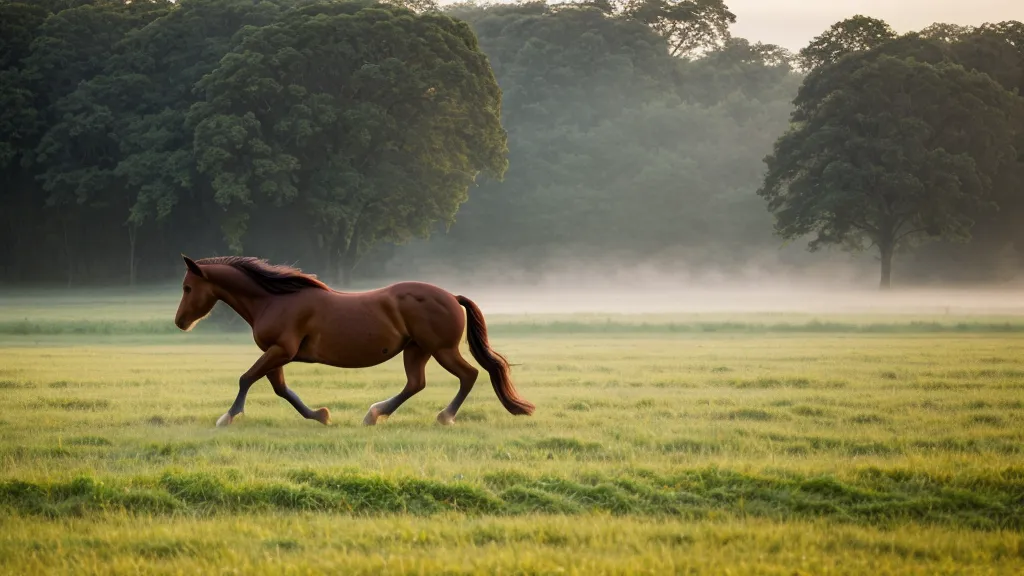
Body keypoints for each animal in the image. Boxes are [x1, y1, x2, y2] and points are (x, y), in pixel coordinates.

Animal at [172, 254, 534, 427]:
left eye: (188, 287)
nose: (180, 322)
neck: (274, 299)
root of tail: (451, 296)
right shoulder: (278, 355)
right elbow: (281, 390)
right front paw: (320, 415)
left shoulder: (280, 351)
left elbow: (246, 378)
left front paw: (228, 417)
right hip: (416, 350)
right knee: (415, 384)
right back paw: (375, 414)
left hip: (441, 349)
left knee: (468, 375)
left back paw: (444, 416)